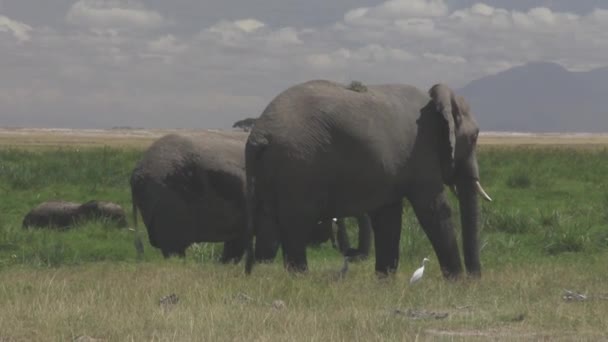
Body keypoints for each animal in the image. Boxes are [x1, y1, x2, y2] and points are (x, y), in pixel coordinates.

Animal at [245, 80, 492, 278]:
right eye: (474, 137)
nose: (475, 278)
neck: (437, 101)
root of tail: (260, 134)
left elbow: (388, 217)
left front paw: (385, 281)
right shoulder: (421, 151)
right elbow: (433, 208)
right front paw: (457, 281)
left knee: (268, 220)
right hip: (298, 165)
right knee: (296, 225)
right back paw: (301, 279)